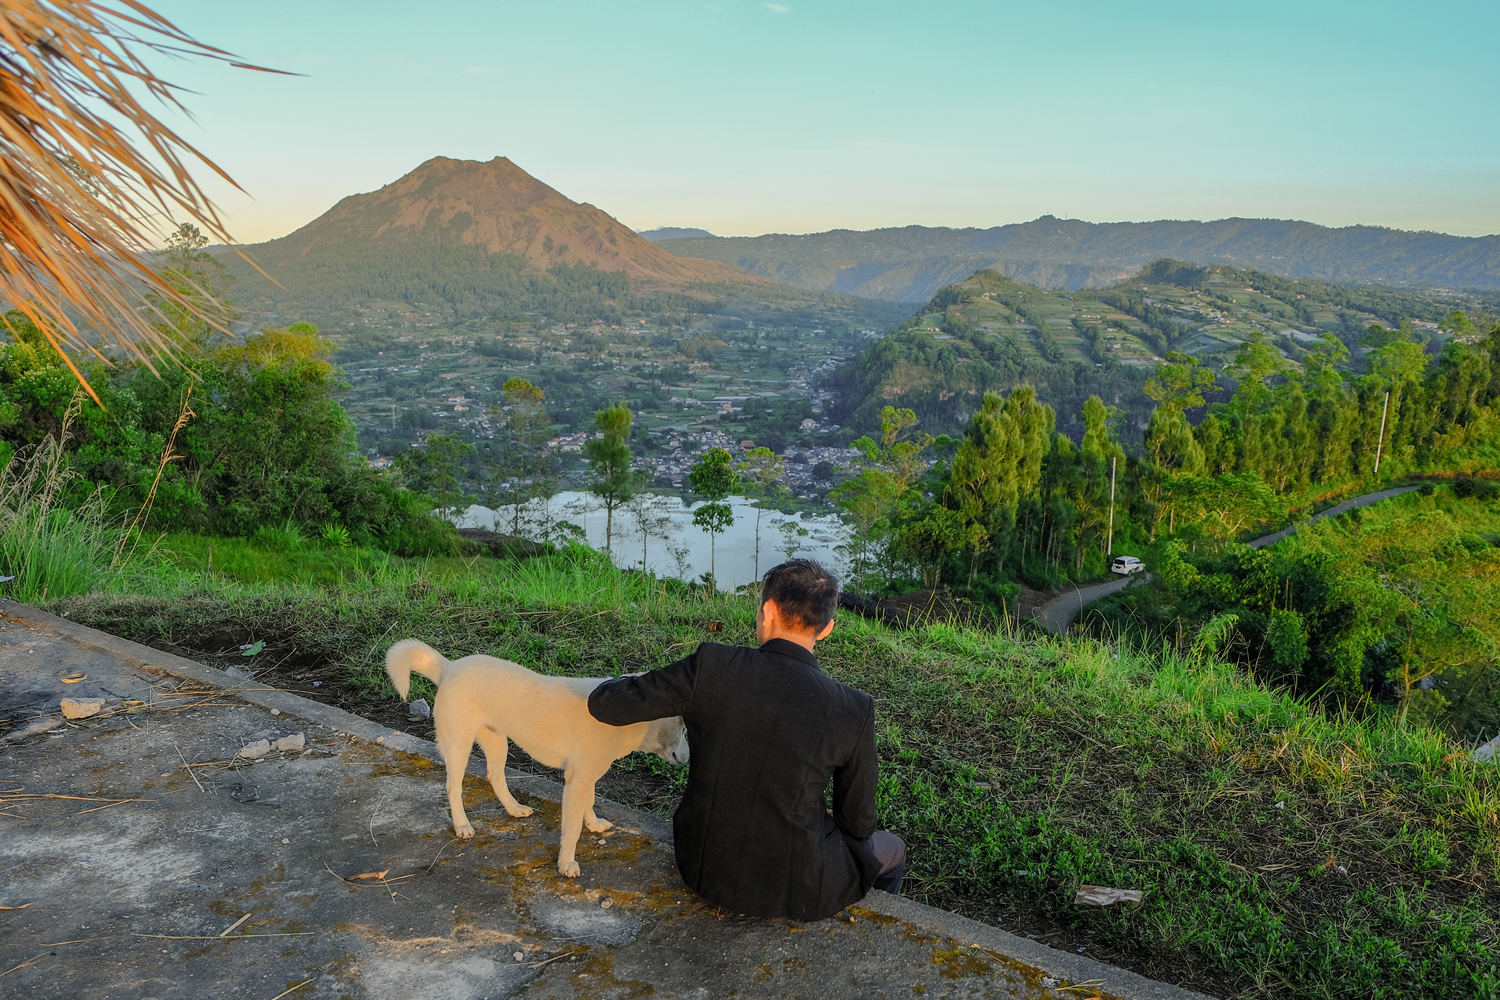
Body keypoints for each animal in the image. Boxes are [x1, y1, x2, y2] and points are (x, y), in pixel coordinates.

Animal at [387, 641, 690, 875]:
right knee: (453, 786)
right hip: (459, 746)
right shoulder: (576, 782)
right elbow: (572, 829)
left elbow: (589, 805)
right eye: (686, 727)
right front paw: (566, 864)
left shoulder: (586, 778)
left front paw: (593, 825)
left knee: (495, 776)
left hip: (497, 743)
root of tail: (449, 667)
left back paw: (514, 809)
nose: (688, 761)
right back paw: (462, 825)